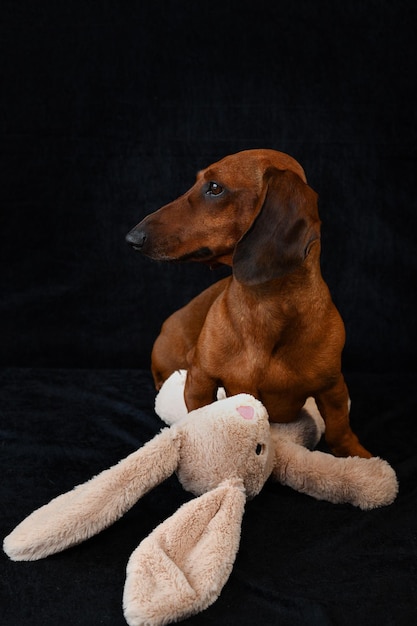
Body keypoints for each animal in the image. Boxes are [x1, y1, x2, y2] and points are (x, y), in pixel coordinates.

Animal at [126, 149, 370, 456]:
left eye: (215, 187)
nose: (132, 237)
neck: (264, 308)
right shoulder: (201, 379)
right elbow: (199, 414)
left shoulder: (333, 387)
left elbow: (339, 429)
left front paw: (359, 455)